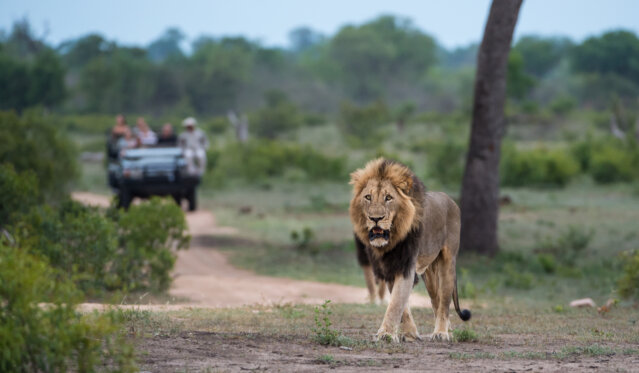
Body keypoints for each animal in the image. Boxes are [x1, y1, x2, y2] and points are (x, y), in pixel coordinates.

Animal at [350, 157, 470, 340]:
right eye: (368, 197)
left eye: (388, 198)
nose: (375, 218)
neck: (392, 240)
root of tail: (451, 200)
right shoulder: (390, 267)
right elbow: (402, 305)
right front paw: (410, 334)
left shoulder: (406, 265)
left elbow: (396, 302)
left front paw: (386, 334)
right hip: (429, 273)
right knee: (436, 300)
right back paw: (446, 329)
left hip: (448, 263)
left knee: (444, 301)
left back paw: (441, 333)